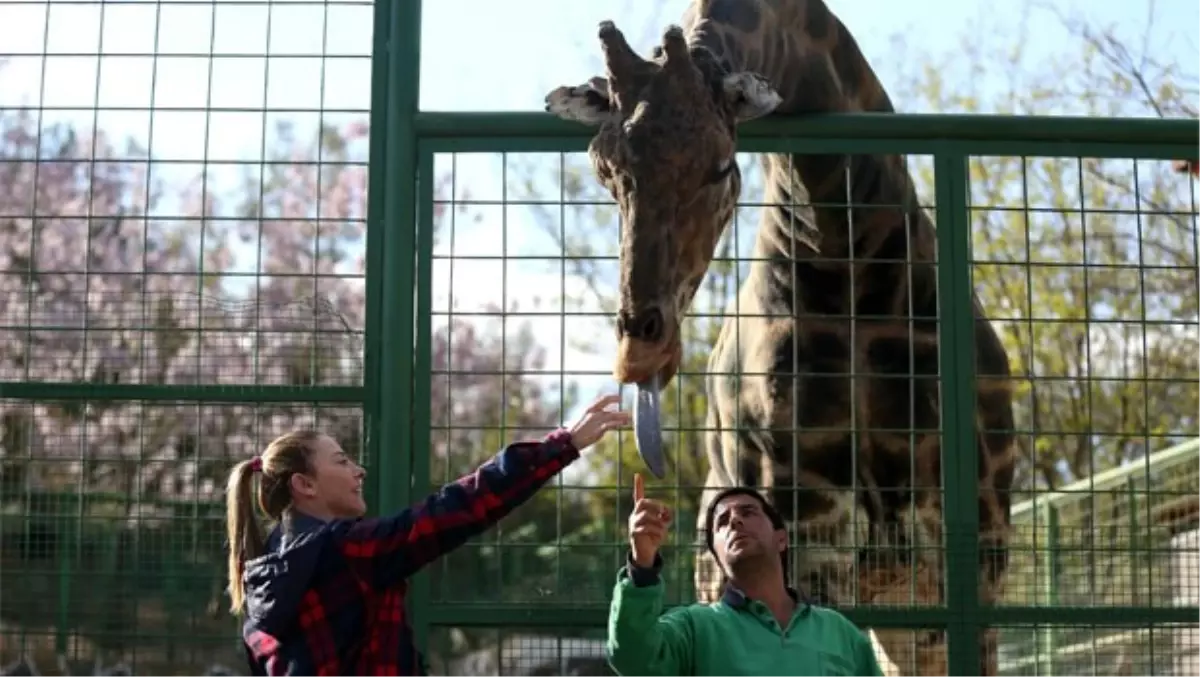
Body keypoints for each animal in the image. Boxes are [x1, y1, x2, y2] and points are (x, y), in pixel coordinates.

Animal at [547, 2, 1022, 672]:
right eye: (605, 171)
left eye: (722, 166)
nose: (641, 350)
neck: (851, 262)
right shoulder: (810, 522)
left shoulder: (973, 551)